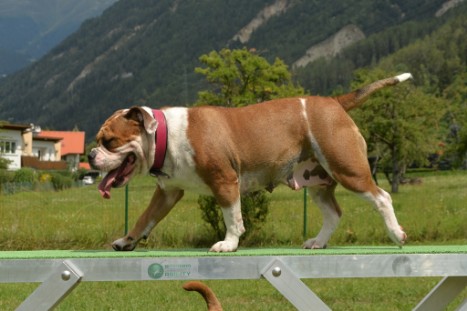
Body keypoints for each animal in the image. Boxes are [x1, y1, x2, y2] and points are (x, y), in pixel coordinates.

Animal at [88, 72, 414, 251]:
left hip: (347, 169)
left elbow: (232, 218)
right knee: (333, 213)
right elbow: (145, 218)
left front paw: (229, 244)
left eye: (109, 141)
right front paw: (127, 241)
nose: (91, 155)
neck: (165, 135)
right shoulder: (167, 194)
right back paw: (318, 242)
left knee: (381, 197)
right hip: (317, 182)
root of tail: (334, 102)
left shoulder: (224, 182)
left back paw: (396, 234)